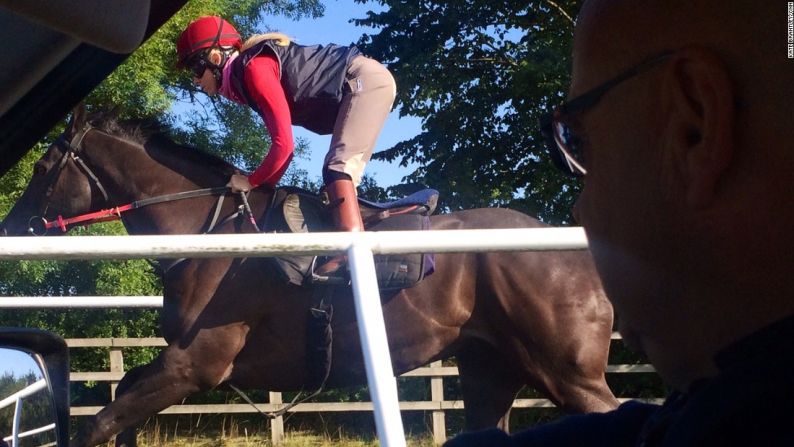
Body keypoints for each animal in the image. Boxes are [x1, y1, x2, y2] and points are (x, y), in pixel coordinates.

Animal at [0, 107, 616, 446]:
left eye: (41, 167)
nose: (11, 225)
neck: (208, 231)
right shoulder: (183, 364)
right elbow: (120, 399)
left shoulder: (195, 365)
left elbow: (98, 424)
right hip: (491, 369)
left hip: (566, 372)